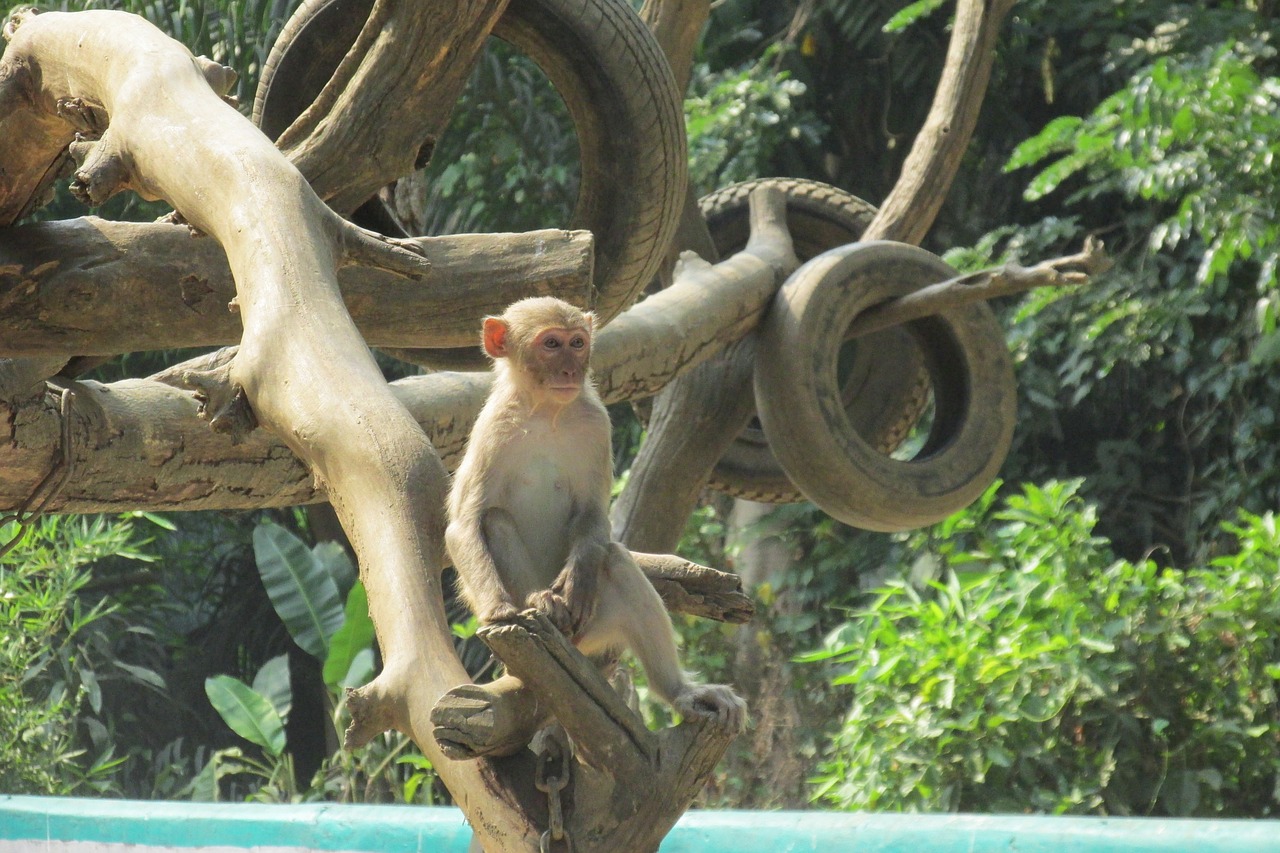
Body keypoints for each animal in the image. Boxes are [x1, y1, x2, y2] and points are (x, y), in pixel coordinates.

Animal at [448, 295, 747, 727]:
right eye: (551, 344)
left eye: (577, 343)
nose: (571, 370)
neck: (547, 412)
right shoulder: (493, 427)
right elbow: (465, 524)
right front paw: (498, 609)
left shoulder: (596, 422)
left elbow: (592, 516)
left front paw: (580, 575)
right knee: (495, 520)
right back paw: (540, 602)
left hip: (593, 630)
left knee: (618, 561)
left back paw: (679, 691)